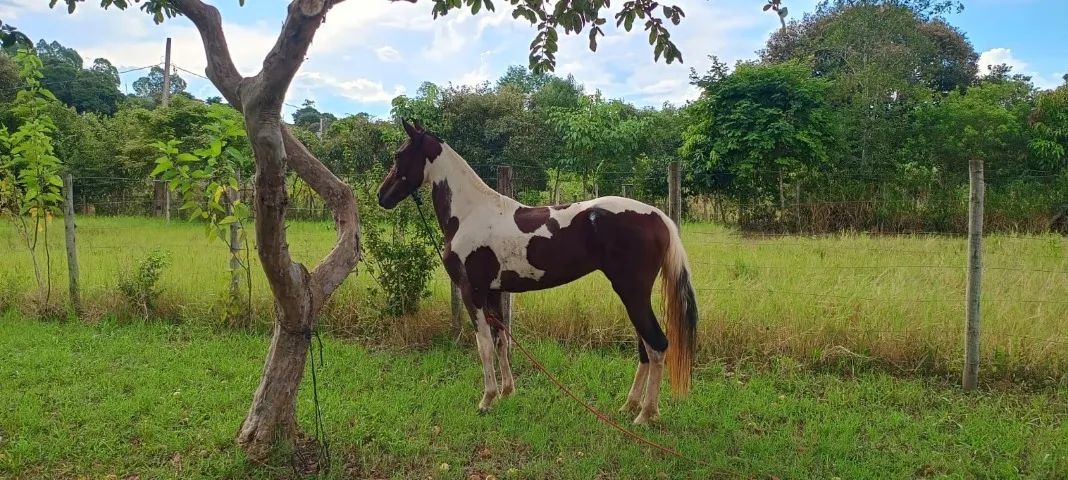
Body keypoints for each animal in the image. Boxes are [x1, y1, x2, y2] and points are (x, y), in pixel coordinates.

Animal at [377, 119, 698, 425]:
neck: (470, 214)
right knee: (645, 347)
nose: (382, 196)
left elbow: (484, 345)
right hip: (633, 296)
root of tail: (658, 216)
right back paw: (629, 405)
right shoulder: (494, 291)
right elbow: (501, 339)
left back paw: (645, 414)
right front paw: (507, 392)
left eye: (398, 155)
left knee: (656, 345)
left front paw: (487, 400)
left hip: (632, 292)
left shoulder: (473, 292)